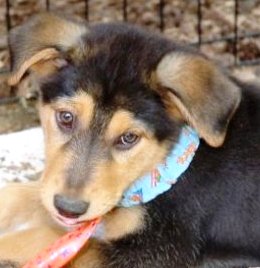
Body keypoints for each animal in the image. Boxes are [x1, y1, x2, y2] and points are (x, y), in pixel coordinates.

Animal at [0, 13, 260, 268]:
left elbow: (48, 238)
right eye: (66, 117)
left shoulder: (157, 249)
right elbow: (23, 193)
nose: (68, 209)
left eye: (129, 138)